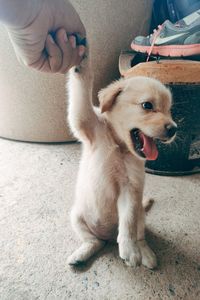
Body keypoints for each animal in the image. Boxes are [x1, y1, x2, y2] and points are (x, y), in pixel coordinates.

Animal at [67, 57, 177, 268]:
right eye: (147, 105)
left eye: (169, 110)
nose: (174, 129)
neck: (119, 145)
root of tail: (108, 237)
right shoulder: (87, 123)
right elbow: (82, 96)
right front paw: (82, 60)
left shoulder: (131, 189)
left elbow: (127, 222)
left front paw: (130, 249)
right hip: (76, 216)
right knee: (94, 241)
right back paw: (82, 253)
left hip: (141, 216)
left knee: (139, 235)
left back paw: (146, 254)